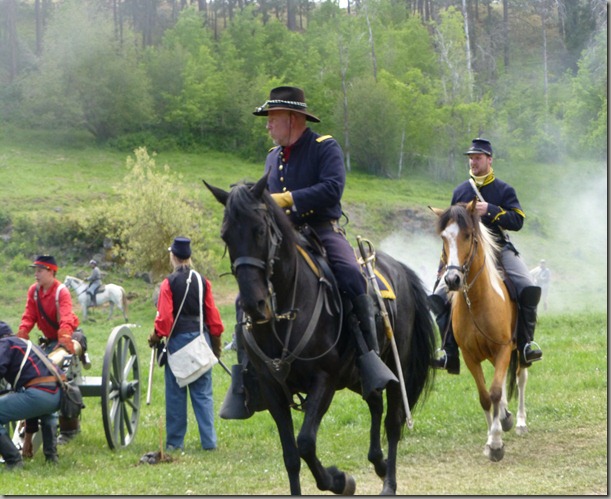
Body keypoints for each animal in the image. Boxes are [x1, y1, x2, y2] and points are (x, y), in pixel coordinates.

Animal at [205, 175, 436, 495]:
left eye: (260, 230)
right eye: (225, 235)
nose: (254, 304)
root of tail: (398, 267)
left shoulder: (323, 382)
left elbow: (305, 443)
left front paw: (340, 481)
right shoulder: (271, 388)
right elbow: (291, 455)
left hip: (393, 367)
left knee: (392, 421)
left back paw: (388, 482)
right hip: (359, 375)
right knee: (375, 403)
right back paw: (377, 463)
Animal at [430, 200, 528, 462]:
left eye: (468, 235)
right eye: (443, 237)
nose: (452, 279)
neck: (477, 301)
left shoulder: (503, 349)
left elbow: (494, 392)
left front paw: (496, 443)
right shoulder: (470, 356)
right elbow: (485, 396)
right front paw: (491, 438)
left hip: (518, 351)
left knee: (520, 377)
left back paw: (520, 422)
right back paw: (504, 416)